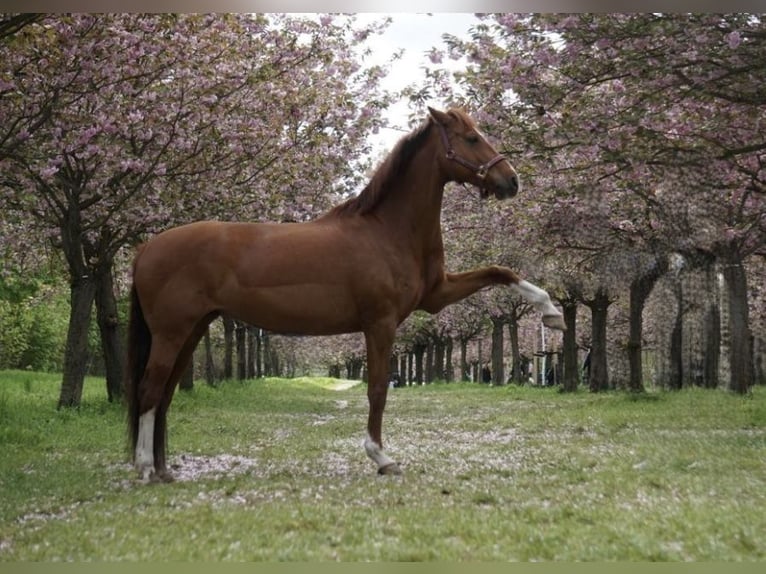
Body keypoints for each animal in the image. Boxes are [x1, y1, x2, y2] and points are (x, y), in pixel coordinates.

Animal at [126, 106, 568, 484]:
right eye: (472, 138)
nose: (511, 180)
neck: (386, 230)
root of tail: (146, 248)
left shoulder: (436, 296)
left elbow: (499, 271)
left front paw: (552, 313)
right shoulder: (381, 323)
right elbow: (377, 389)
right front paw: (382, 457)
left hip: (193, 330)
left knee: (164, 394)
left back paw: (163, 471)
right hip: (172, 332)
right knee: (150, 390)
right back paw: (146, 468)